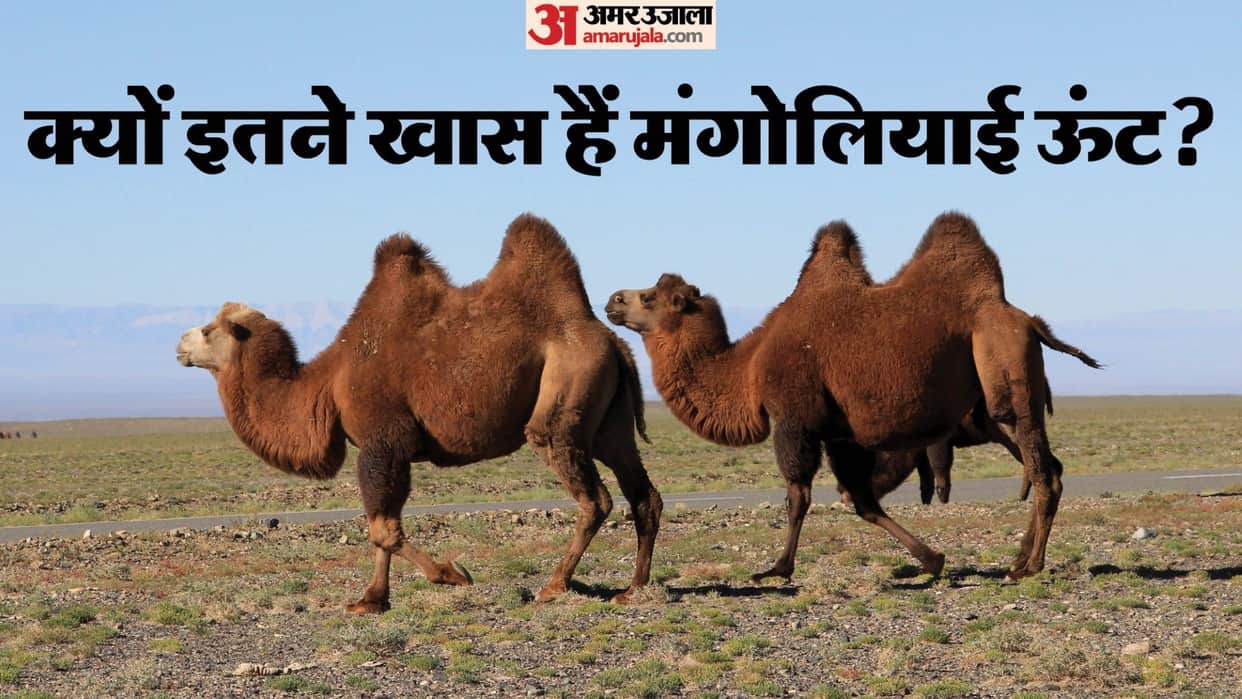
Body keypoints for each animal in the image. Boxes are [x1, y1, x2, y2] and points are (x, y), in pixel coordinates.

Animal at [177, 214, 663, 613]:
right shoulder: (385, 447)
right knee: (643, 494)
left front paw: (449, 575)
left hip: (564, 398)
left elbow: (384, 530)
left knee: (592, 496)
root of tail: (611, 340)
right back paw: (632, 589)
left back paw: (554, 585)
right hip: (609, 423)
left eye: (209, 330)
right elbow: (382, 525)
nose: (180, 345)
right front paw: (372, 600)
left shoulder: (383, 440)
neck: (329, 381)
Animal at [607, 212, 1100, 582]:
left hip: (1005, 367)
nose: (612, 300)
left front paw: (777, 569)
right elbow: (861, 501)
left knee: (1043, 471)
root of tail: (1029, 321)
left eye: (648, 297)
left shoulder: (795, 418)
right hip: (993, 410)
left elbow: (798, 496)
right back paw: (1019, 558)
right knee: (1047, 466)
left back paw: (1029, 566)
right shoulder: (839, 434)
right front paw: (931, 559)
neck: (747, 367)